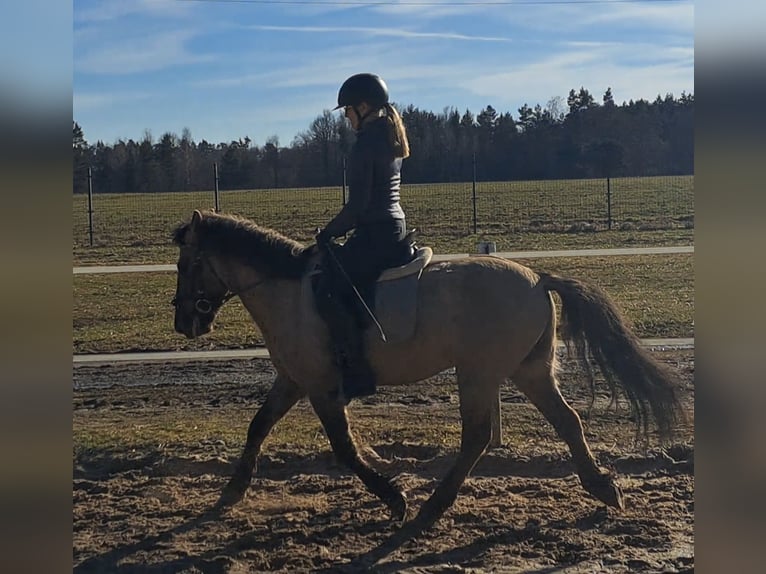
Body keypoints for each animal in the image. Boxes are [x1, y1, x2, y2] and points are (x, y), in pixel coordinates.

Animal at [171, 209, 683, 533]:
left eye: (186, 262)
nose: (184, 321)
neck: (290, 292)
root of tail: (539, 278)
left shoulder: (320, 387)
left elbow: (345, 448)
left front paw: (393, 496)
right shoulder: (294, 380)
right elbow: (258, 426)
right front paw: (231, 492)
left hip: (479, 373)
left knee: (478, 435)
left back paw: (432, 507)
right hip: (527, 371)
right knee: (567, 421)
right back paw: (602, 487)